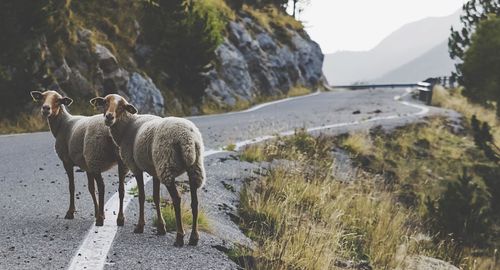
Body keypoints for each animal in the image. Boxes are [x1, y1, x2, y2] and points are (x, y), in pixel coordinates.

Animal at [30, 90, 128, 226]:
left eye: (58, 100)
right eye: (43, 97)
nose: (45, 108)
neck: (62, 124)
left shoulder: (67, 161)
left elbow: (72, 187)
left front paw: (70, 213)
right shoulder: (87, 166)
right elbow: (91, 188)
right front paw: (96, 212)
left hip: (95, 156)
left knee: (102, 187)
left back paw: (100, 219)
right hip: (119, 161)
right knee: (121, 189)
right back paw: (120, 219)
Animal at [89, 94, 205, 247]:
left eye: (121, 107)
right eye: (105, 102)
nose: (109, 117)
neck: (126, 127)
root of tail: (187, 138)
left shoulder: (136, 167)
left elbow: (142, 196)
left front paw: (140, 226)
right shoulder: (154, 170)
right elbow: (156, 197)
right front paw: (161, 228)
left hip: (166, 165)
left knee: (177, 199)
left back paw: (180, 237)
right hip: (194, 168)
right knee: (195, 202)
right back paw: (194, 237)